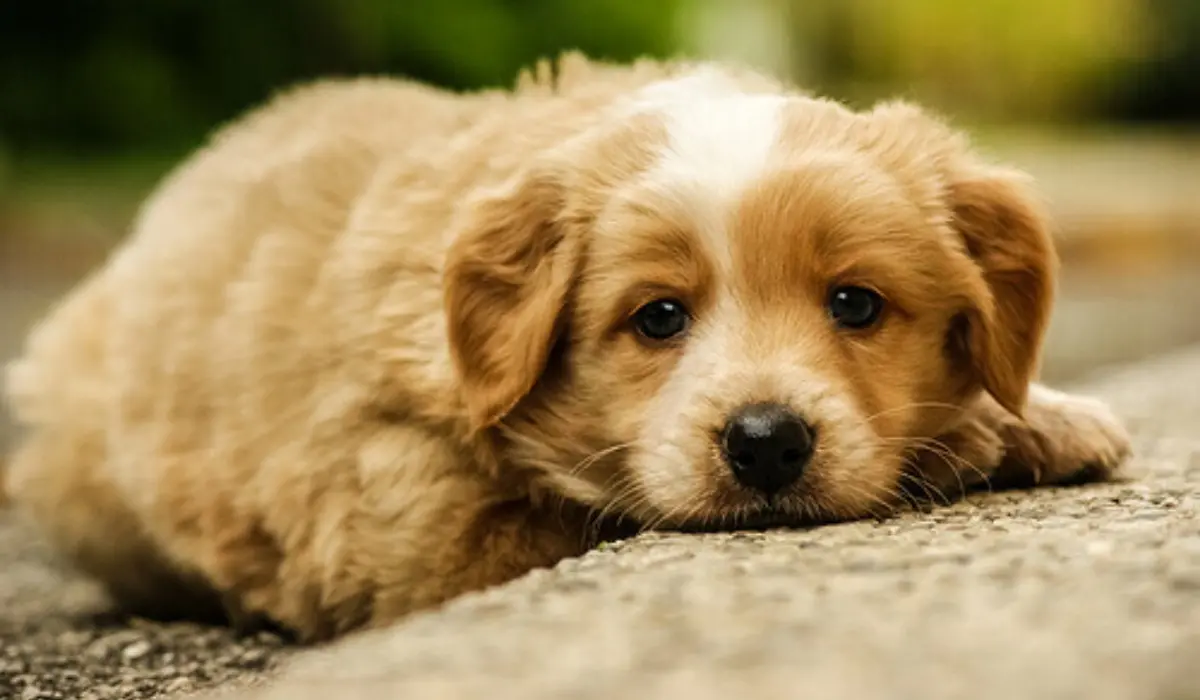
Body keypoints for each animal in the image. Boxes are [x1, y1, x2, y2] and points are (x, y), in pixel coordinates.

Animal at [0, 54, 1128, 643]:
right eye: (658, 318)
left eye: (856, 303)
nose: (766, 443)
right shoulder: (407, 525)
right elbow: (585, 510)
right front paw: (972, 438)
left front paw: (1043, 415)